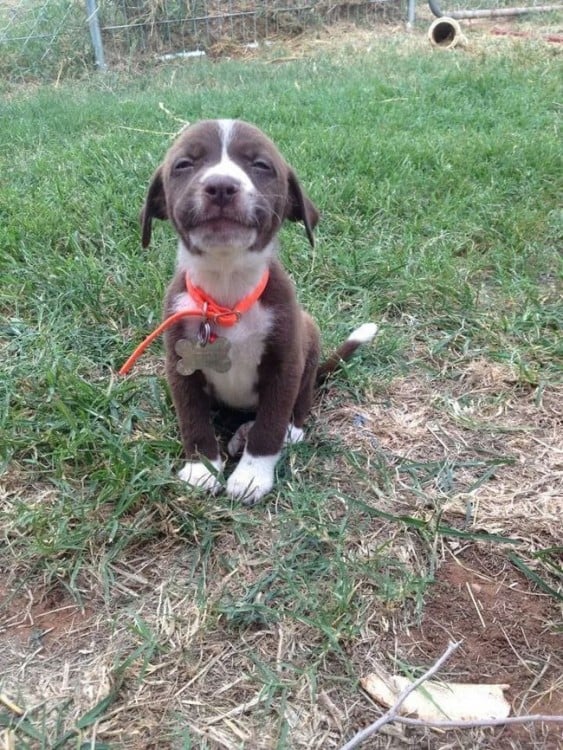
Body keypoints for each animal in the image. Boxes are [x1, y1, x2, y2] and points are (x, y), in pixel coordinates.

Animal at [135, 119, 376, 506]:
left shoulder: (285, 362)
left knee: (300, 404)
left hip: (309, 341)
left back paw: (281, 432)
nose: (221, 186)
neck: (227, 292)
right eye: (184, 165)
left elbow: (270, 425)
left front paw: (251, 475)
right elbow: (193, 420)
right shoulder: (180, 365)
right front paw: (202, 468)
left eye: (261, 165)